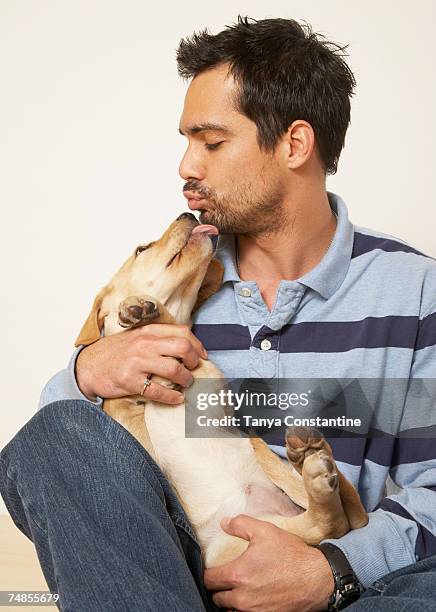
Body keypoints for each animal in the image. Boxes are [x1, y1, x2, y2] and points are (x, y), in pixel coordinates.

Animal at [75, 212, 368, 568]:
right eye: (141, 249)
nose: (187, 214)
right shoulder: (132, 426)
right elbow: (122, 400)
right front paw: (141, 314)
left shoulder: (205, 377)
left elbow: (177, 330)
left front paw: (149, 312)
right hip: (232, 542)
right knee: (338, 521)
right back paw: (310, 458)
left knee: (338, 521)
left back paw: (310, 458)